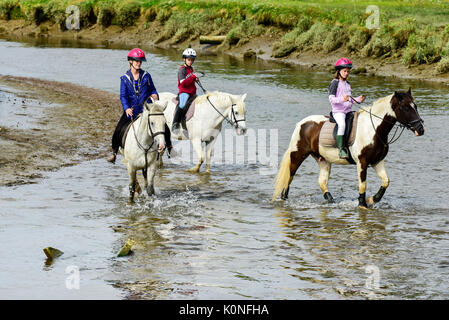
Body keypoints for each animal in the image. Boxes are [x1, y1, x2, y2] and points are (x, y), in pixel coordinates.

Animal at [272, 89, 424, 208]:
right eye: (406, 107)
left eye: (415, 106)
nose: (420, 129)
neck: (373, 129)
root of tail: (302, 123)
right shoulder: (362, 162)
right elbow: (363, 184)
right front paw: (362, 204)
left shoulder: (377, 161)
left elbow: (386, 182)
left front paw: (372, 200)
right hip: (298, 155)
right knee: (290, 176)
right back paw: (284, 200)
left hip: (323, 159)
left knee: (322, 182)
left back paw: (333, 202)